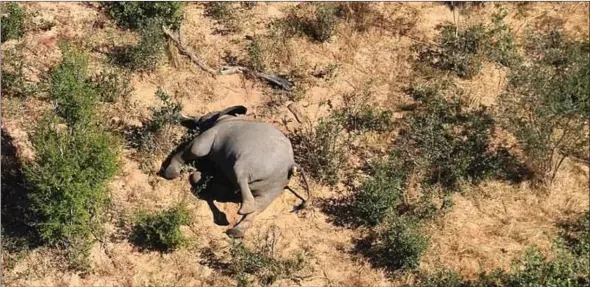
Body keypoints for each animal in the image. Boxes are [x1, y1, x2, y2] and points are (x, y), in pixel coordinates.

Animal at [160, 106, 312, 238]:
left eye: (207, 115)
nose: (190, 118)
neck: (226, 118)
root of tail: (292, 164)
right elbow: (208, 176)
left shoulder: (211, 135)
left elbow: (195, 150)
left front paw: (171, 172)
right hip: (276, 185)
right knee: (259, 204)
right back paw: (236, 231)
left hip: (253, 163)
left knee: (241, 177)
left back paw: (242, 209)